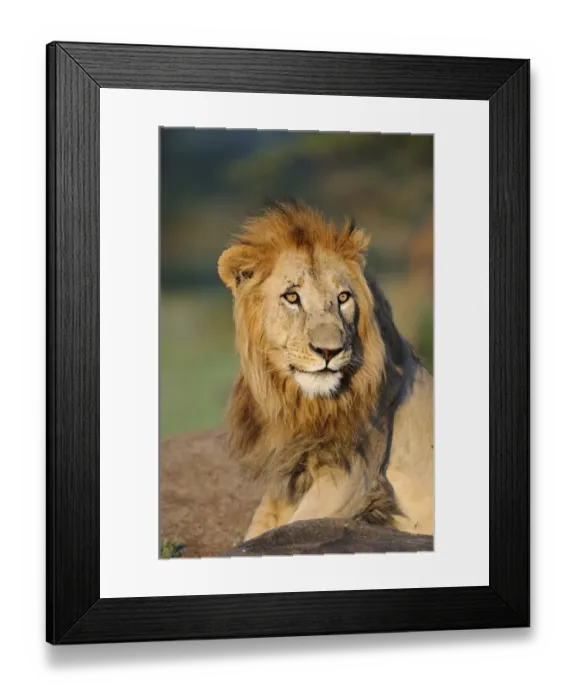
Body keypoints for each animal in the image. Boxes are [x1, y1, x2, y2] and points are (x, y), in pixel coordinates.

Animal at [217, 202, 433, 542]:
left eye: (343, 297)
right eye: (292, 297)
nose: (329, 351)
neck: (305, 406)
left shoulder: (354, 479)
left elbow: (293, 527)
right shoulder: (287, 474)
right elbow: (258, 530)